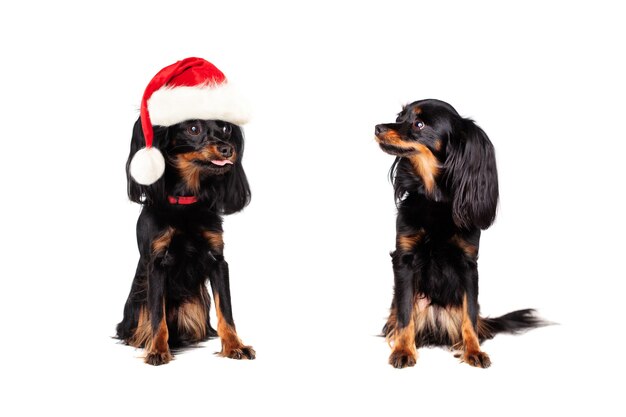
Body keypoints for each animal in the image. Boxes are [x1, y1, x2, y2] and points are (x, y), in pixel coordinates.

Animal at [114, 57, 254, 364]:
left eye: (225, 128)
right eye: (193, 129)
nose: (227, 149)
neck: (186, 201)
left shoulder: (217, 260)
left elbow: (226, 311)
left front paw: (235, 346)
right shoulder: (157, 263)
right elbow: (157, 315)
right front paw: (157, 349)